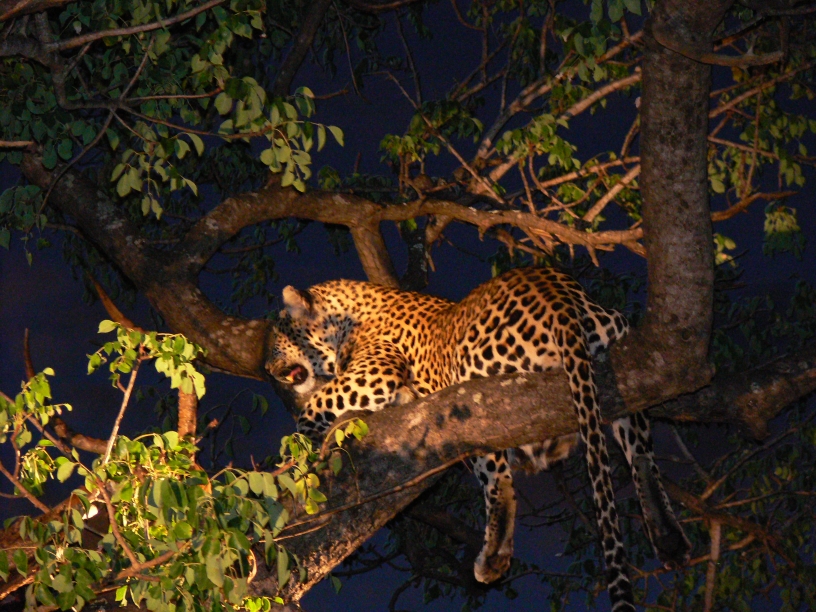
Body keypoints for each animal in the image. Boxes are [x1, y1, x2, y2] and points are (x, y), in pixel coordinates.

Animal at [266, 267, 690, 612]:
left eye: (276, 336)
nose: (267, 368)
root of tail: (558, 292)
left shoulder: (372, 372)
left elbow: (315, 406)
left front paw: (289, 459)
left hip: (471, 380)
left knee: (500, 473)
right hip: (619, 358)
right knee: (641, 456)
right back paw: (667, 535)